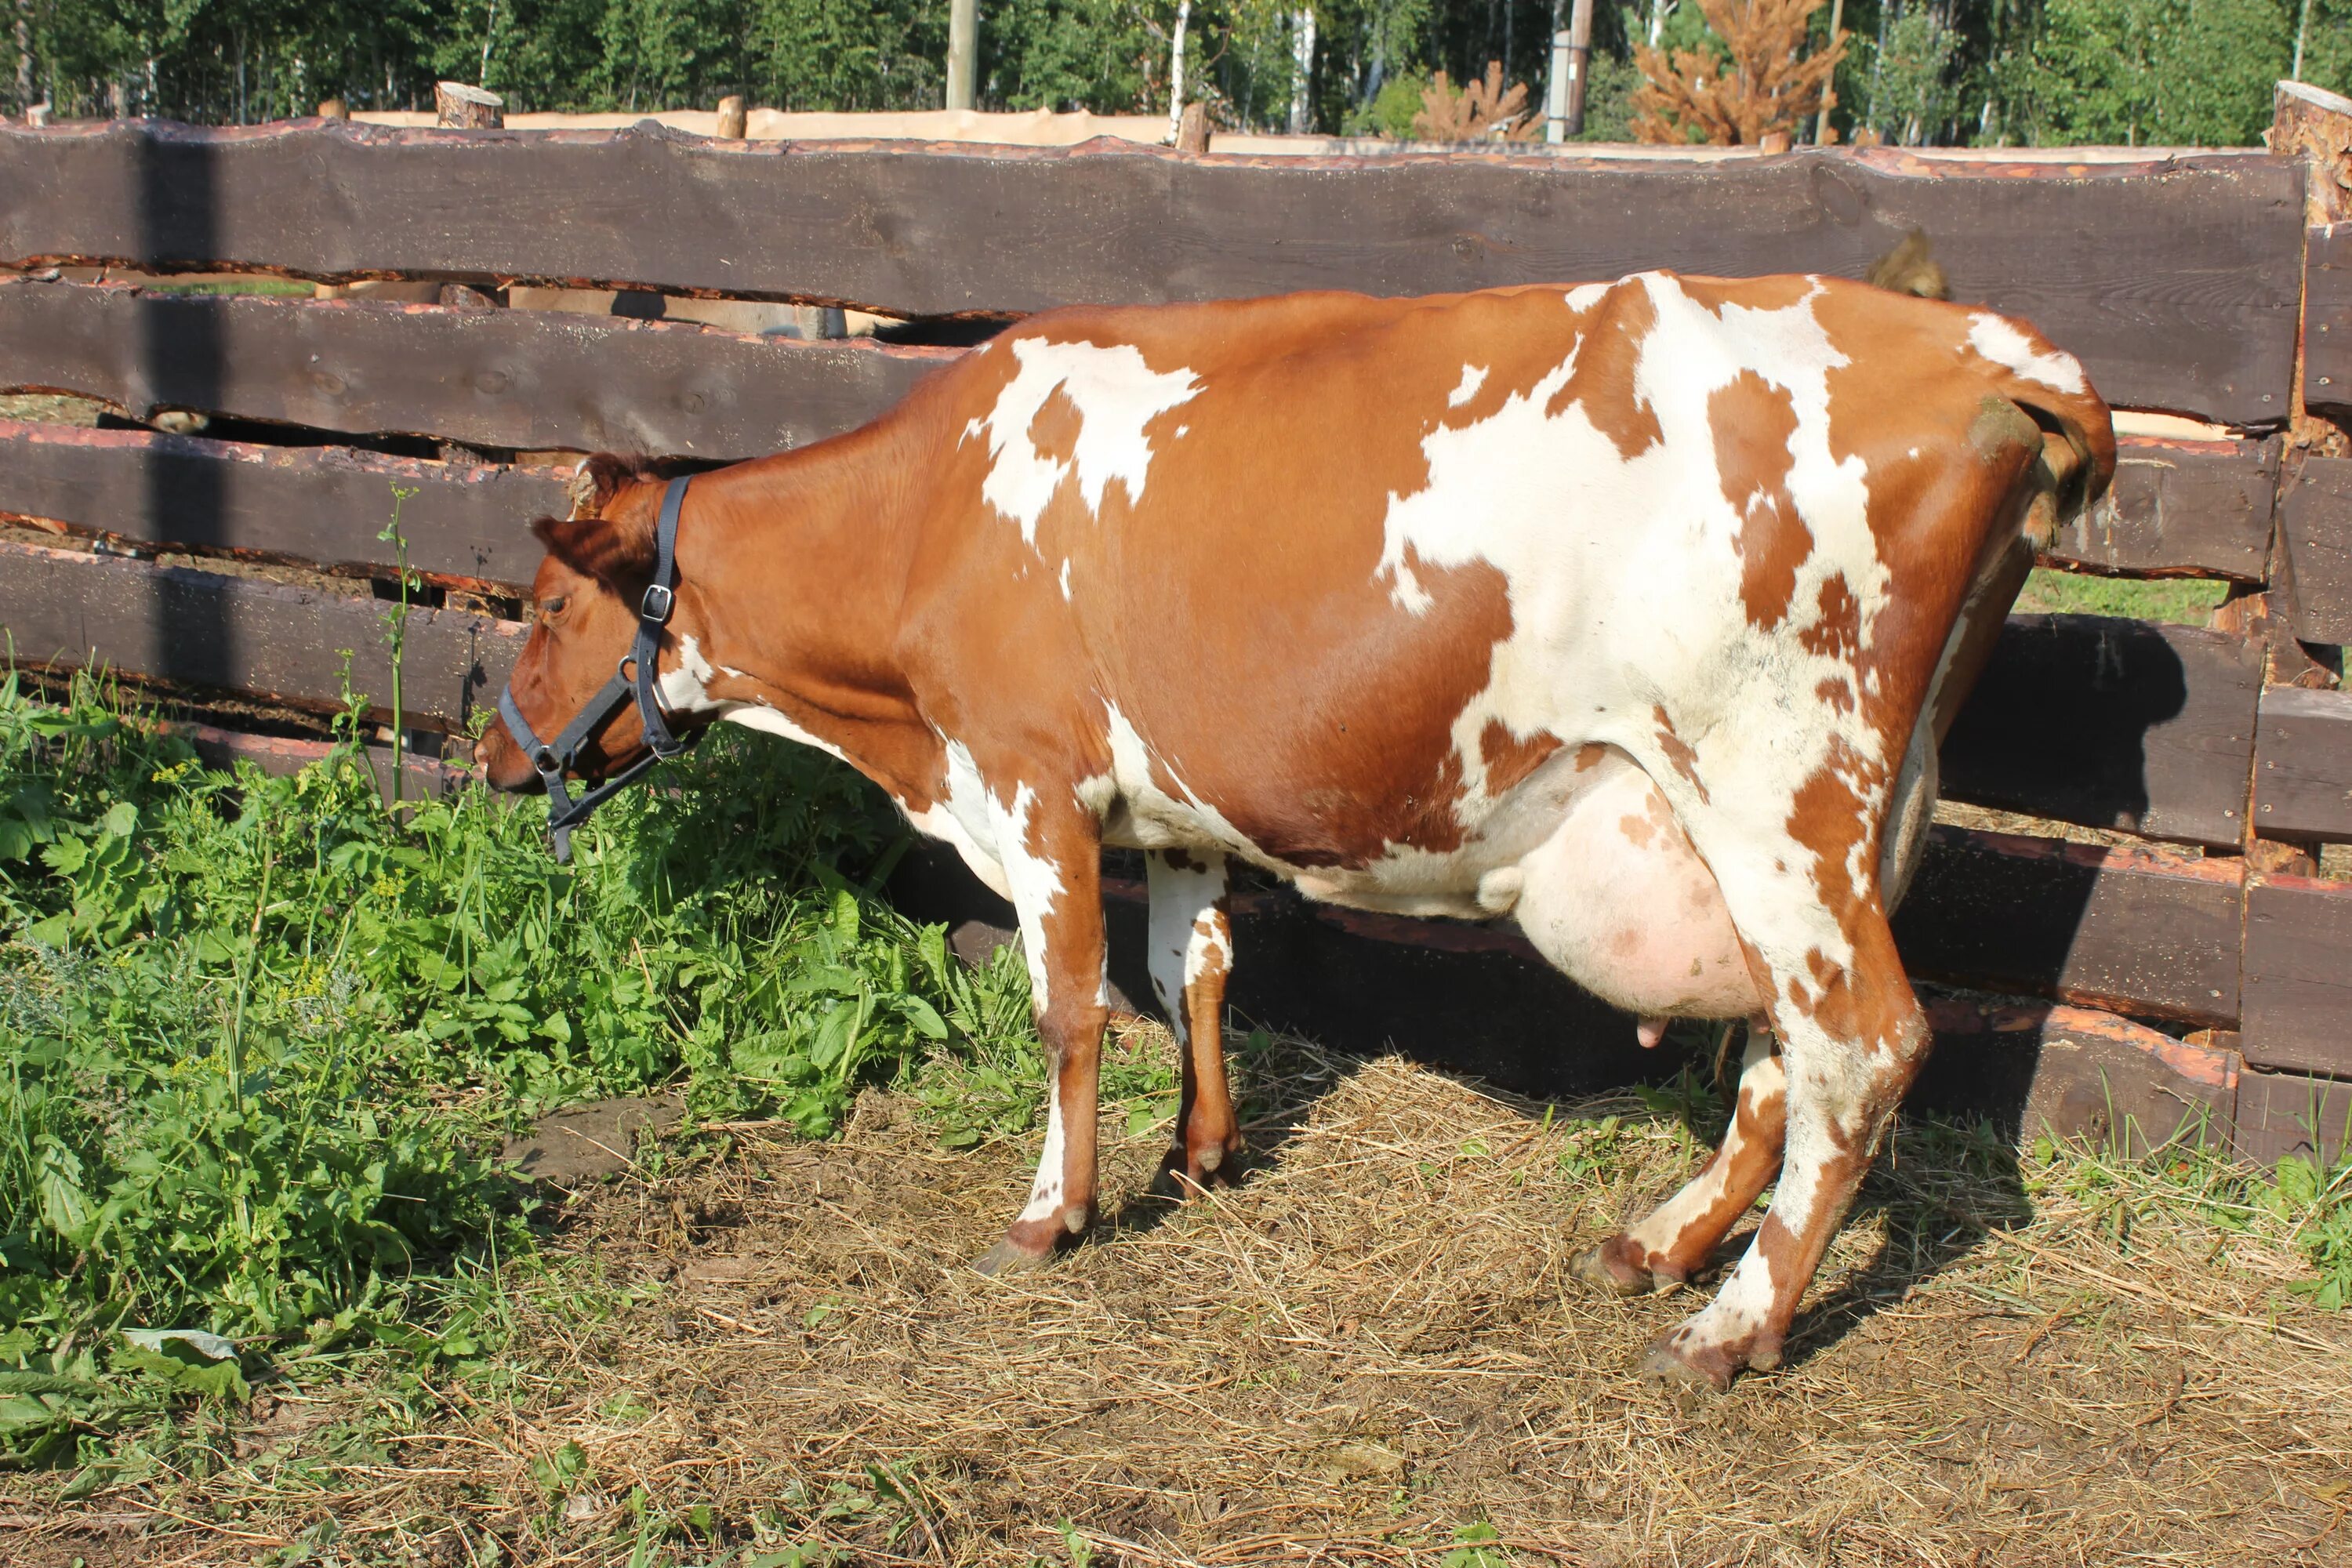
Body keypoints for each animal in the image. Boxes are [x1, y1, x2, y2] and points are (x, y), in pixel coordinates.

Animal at [477, 270, 2117, 1382]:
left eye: (548, 606)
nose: (494, 756)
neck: (933, 515)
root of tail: (1971, 341)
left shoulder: (1031, 779)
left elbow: (1070, 1011)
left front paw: (1052, 1214)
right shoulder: (1176, 796)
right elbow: (1192, 966)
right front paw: (1202, 1150)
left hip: (1775, 786)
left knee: (1862, 1048)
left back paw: (1734, 1323)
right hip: (1833, 821)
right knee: (1787, 1055)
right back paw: (1662, 1241)